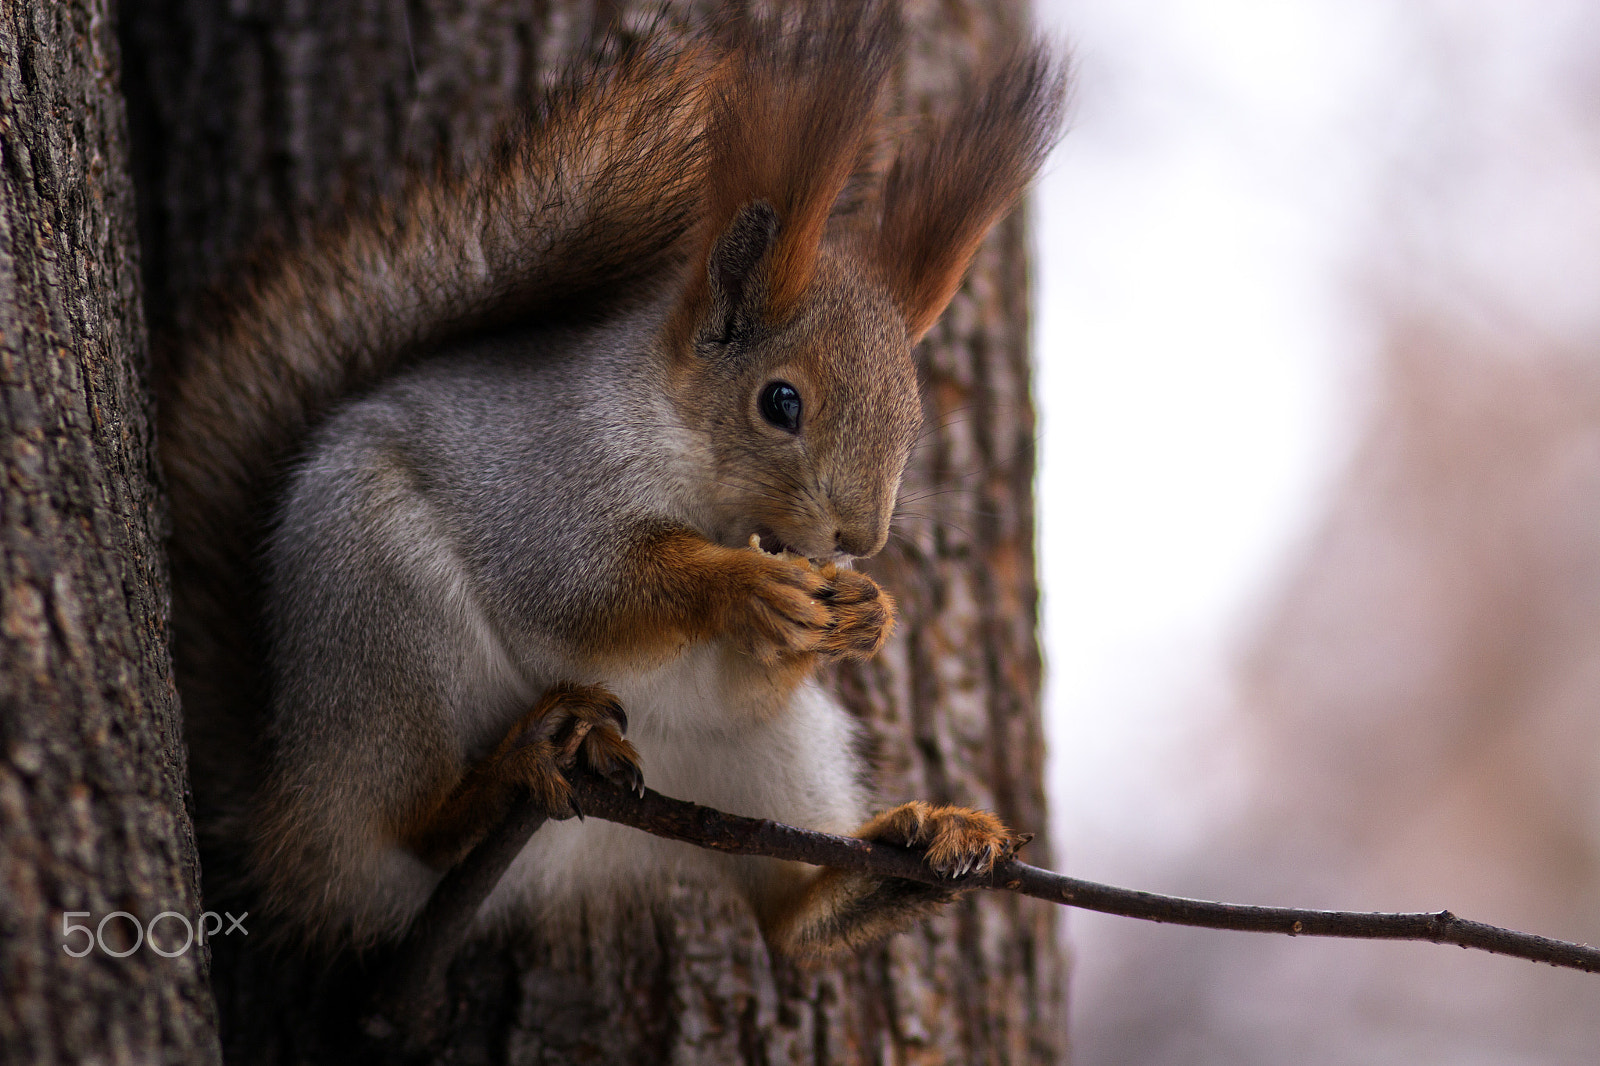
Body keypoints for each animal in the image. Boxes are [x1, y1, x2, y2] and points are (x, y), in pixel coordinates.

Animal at [159, 4, 1062, 953]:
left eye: (915, 421)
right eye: (780, 402)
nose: (862, 539)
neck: (703, 480)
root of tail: (294, 830)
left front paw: (863, 611)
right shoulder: (548, 480)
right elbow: (588, 588)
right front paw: (744, 586)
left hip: (752, 750)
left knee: (788, 920)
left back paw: (903, 861)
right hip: (378, 619)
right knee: (413, 827)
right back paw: (496, 779)